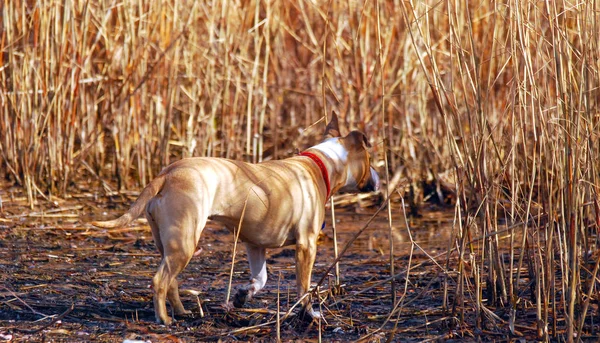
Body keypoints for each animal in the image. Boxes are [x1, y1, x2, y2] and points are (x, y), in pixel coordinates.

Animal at [92, 114, 382, 326]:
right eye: (369, 158)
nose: (379, 179)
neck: (321, 164)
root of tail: (168, 173)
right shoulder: (306, 246)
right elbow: (304, 287)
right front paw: (310, 314)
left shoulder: (255, 245)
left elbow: (261, 278)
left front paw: (244, 295)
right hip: (184, 241)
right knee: (160, 281)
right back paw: (164, 318)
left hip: (168, 244)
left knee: (170, 280)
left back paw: (181, 312)